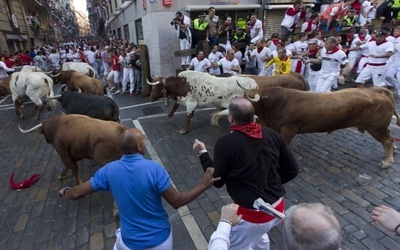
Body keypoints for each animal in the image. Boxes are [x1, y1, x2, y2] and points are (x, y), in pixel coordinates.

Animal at [245, 87, 398, 168]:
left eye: (248, 100)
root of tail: (375, 90)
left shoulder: (288, 130)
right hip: (380, 127)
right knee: (390, 135)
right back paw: (394, 152)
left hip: (376, 127)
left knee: (388, 141)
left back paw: (387, 161)